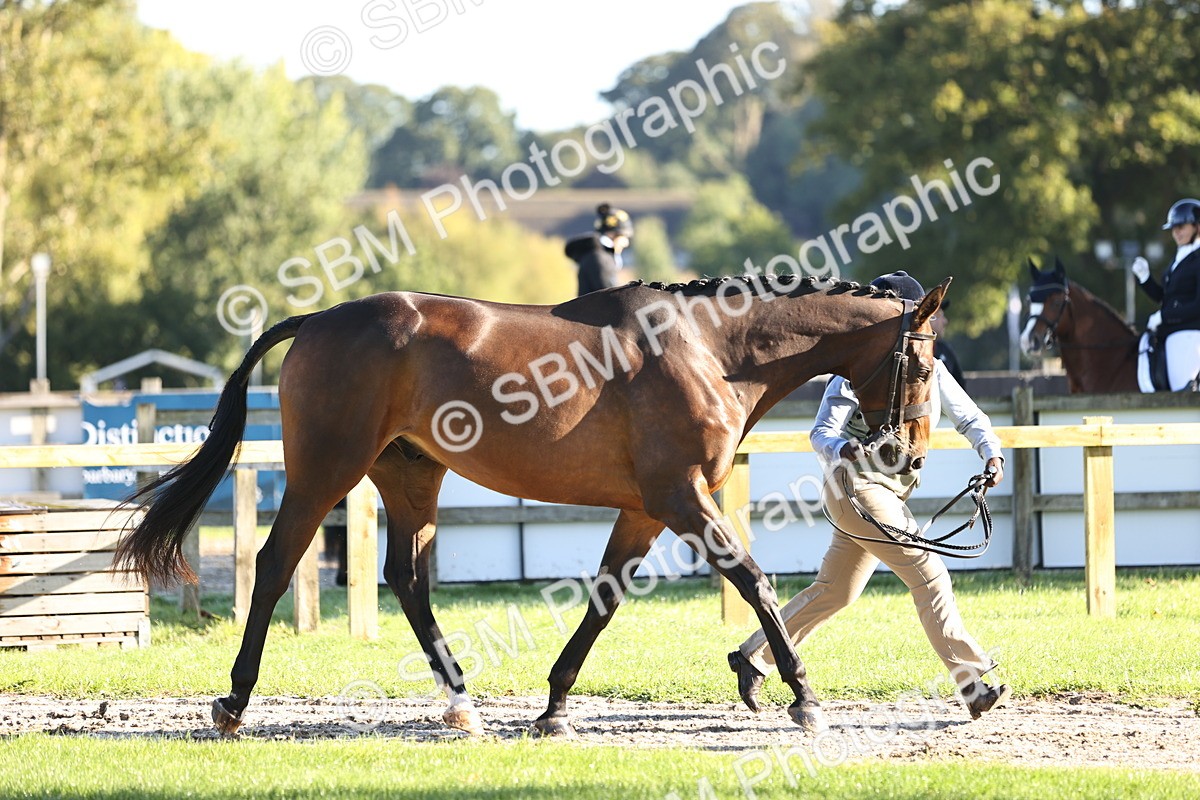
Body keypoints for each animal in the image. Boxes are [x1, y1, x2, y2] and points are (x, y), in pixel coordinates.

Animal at [116, 273, 948, 738]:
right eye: (925, 363)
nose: (907, 458)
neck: (710, 350)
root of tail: (318, 320)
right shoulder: (681, 497)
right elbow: (755, 581)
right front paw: (801, 694)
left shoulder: (646, 510)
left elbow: (604, 601)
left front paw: (554, 707)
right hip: (326, 471)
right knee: (275, 563)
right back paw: (234, 702)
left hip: (410, 476)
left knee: (407, 579)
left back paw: (462, 703)